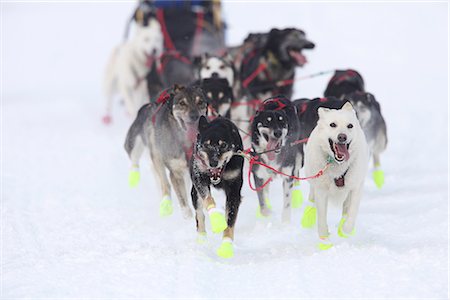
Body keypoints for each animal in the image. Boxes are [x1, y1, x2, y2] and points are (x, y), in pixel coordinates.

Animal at [123, 84, 207, 218]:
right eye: (182, 103)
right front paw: (186, 212)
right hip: (146, 147)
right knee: (162, 181)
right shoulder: (175, 171)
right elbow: (180, 195)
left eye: (200, 102)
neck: (186, 142)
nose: (195, 116)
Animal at [189, 115, 243, 258]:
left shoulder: (234, 191)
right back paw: (202, 238)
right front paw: (217, 220)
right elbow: (208, 199)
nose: (213, 163)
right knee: (200, 214)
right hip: (194, 192)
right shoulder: (199, 178)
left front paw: (226, 246)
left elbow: (230, 220)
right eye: (207, 144)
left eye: (223, 145)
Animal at [302, 102, 370, 250]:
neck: (338, 167)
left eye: (350, 126)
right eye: (333, 124)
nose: (342, 137)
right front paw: (325, 241)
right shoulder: (321, 191)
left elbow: (351, 213)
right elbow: (321, 219)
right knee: (311, 199)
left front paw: (345, 230)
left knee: (346, 207)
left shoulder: (356, 187)